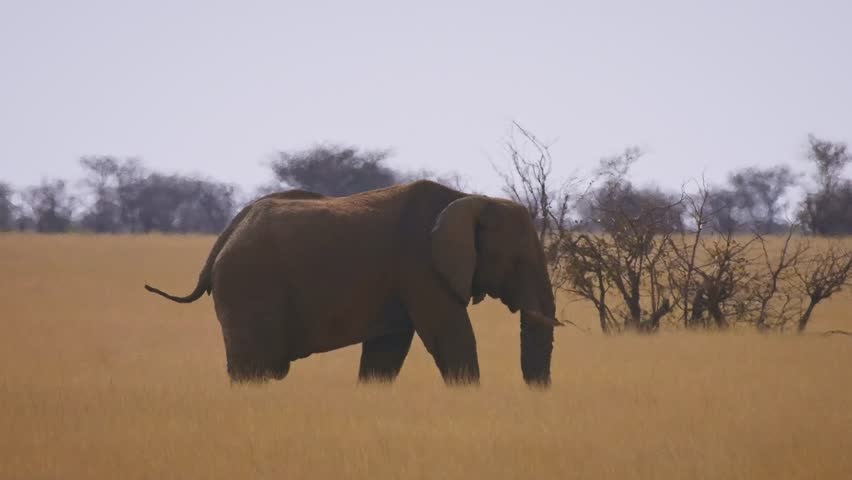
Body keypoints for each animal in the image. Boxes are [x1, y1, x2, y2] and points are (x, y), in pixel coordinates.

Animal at [144, 180, 562, 387]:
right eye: (516, 262)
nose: (534, 395)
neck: (471, 199)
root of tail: (227, 234)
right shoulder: (420, 266)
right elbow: (450, 335)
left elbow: (387, 349)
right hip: (249, 285)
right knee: (254, 367)